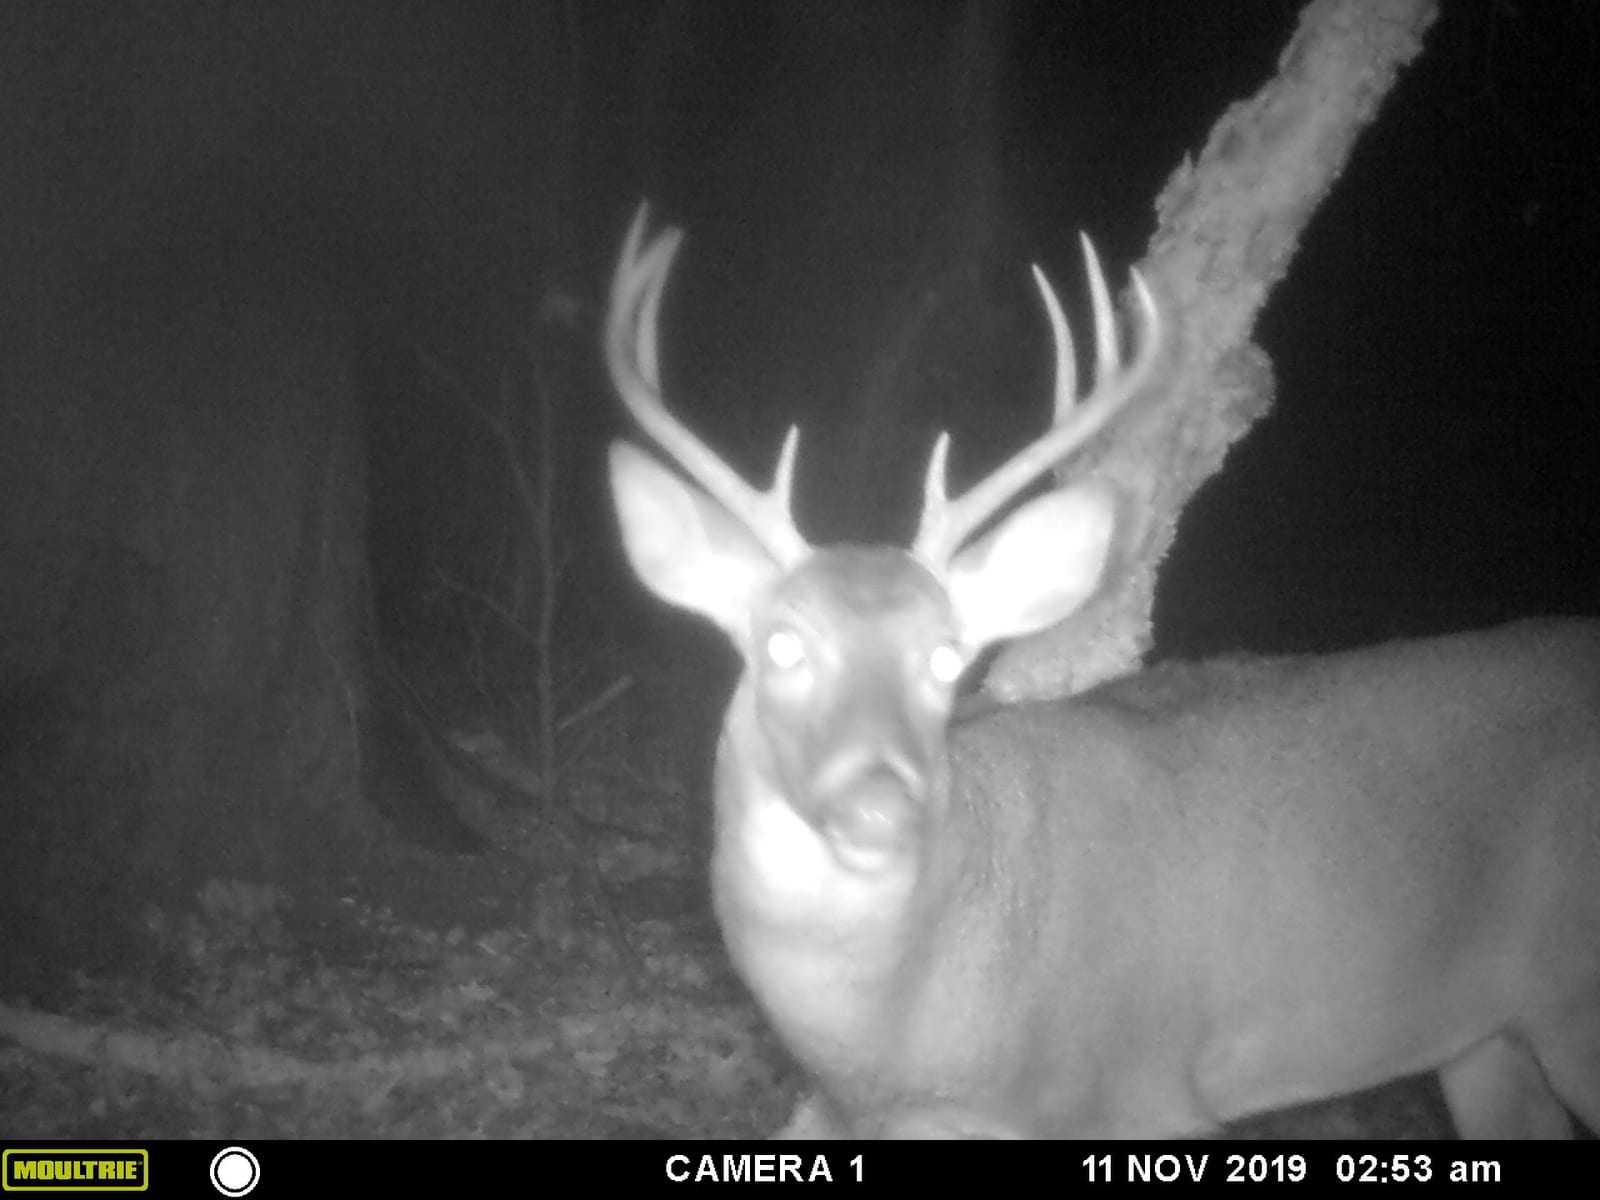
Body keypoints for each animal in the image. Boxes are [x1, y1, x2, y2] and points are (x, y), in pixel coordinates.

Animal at [602, 205, 1600, 1139]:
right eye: (783, 644)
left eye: (946, 657)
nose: (879, 801)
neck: (903, 1041)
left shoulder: (1137, 1095)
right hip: (1484, 1036)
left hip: (1573, 996)